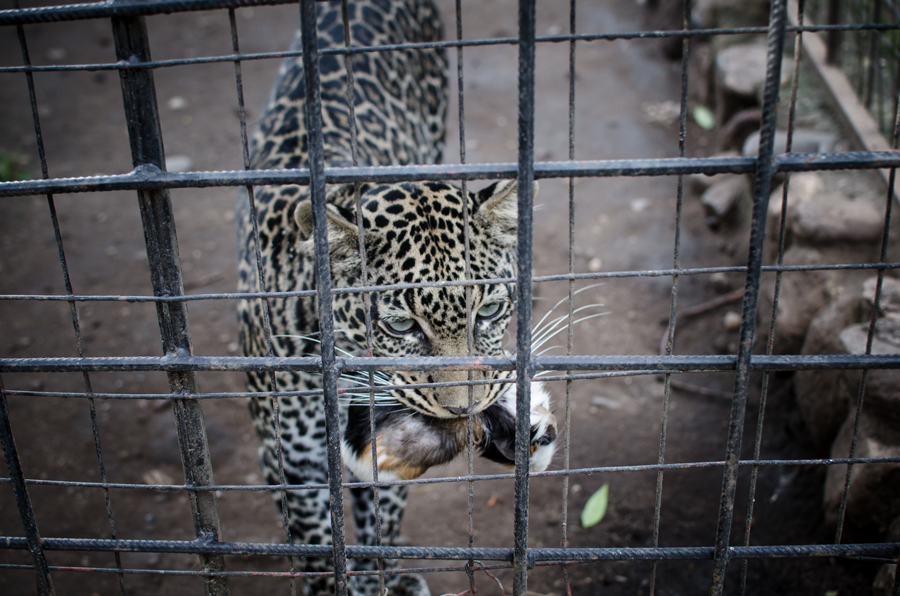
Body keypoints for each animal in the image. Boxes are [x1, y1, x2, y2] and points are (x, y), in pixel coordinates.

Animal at [237, 2, 556, 592]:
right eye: (403, 326)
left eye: (490, 310)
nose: (465, 408)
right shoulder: (291, 459)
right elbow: (318, 542)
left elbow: (379, 513)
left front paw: (381, 575)